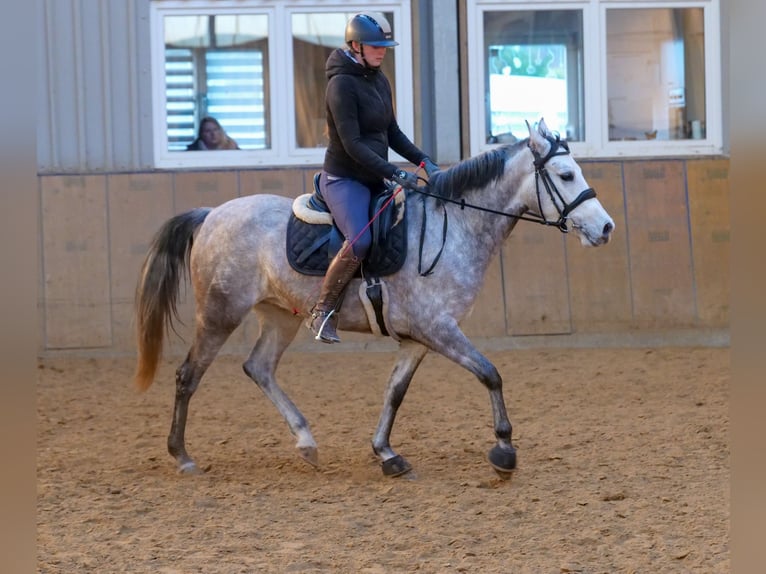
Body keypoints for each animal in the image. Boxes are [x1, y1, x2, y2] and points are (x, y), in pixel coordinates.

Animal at [130, 119, 612, 480]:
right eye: (566, 175)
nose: (605, 228)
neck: (454, 226)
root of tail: (212, 214)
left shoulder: (419, 338)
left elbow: (395, 392)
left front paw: (386, 453)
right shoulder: (439, 329)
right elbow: (490, 374)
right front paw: (504, 450)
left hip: (281, 315)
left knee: (259, 368)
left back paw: (306, 442)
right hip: (220, 312)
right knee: (188, 375)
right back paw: (182, 456)